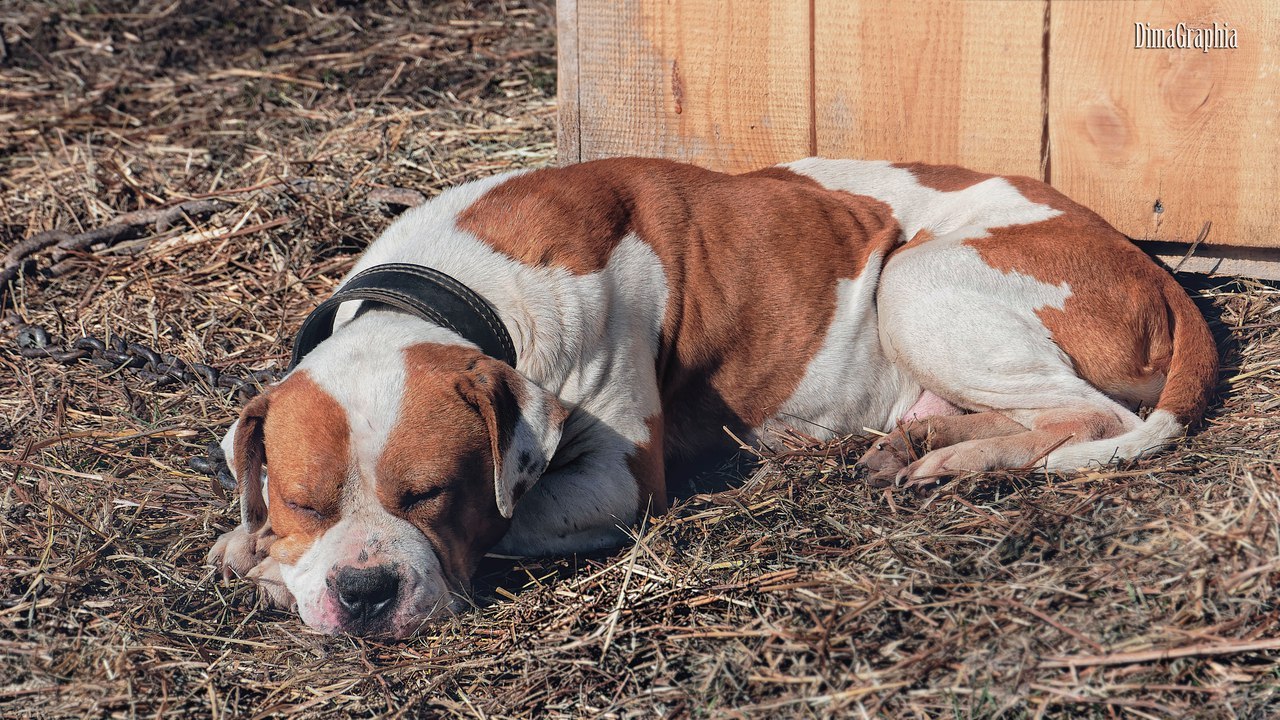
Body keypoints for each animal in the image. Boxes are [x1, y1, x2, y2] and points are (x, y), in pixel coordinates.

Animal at [204, 156, 1213, 632]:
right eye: (304, 501)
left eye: (432, 495)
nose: (364, 589)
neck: (469, 285)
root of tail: (1154, 270)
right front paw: (251, 545)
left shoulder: (615, 484)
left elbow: (505, 526)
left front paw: (272, 573)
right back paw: (924, 444)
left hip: (916, 280)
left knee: (1089, 417)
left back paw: (960, 462)